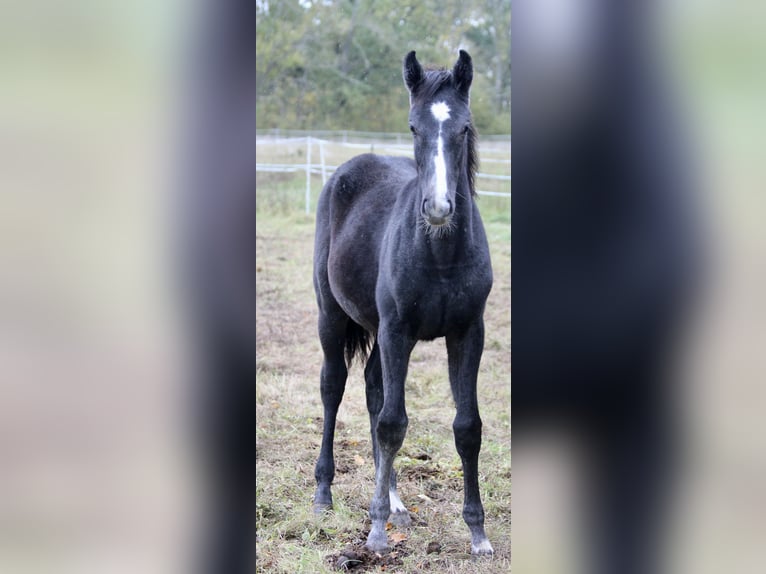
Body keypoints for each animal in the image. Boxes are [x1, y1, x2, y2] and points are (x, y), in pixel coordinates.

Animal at [311, 50, 495, 556]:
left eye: (464, 128)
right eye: (414, 127)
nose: (438, 208)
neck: (441, 257)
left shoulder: (467, 332)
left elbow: (467, 427)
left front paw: (478, 533)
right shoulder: (397, 330)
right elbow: (393, 422)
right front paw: (375, 532)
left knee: (374, 389)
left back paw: (395, 502)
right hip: (332, 317)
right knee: (334, 387)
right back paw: (324, 492)